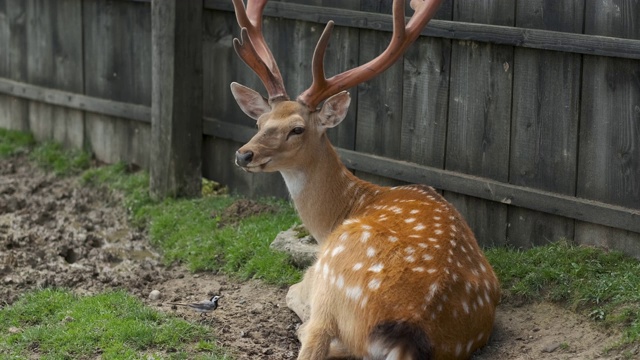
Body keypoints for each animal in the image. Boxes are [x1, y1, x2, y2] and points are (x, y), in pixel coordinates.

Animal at [229, 0, 500, 358]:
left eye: (297, 129)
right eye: (260, 121)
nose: (243, 155)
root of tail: (408, 333)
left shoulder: (315, 271)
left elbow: (291, 291)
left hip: (332, 277)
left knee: (314, 335)